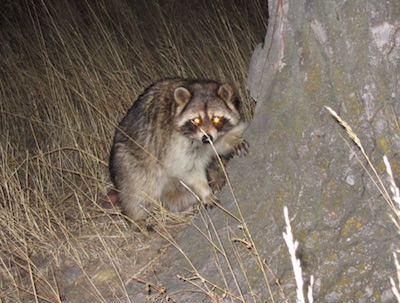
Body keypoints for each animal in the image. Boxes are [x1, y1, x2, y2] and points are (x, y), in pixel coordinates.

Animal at [108, 78, 248, 228]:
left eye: (216, 119)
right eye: (196, 120)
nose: (206, 138)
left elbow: (222, 142)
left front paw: (233, 140)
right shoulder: (173, 145)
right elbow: (188, 170)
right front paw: (205, 191)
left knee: (180, 196)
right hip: (130, 165)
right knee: (137, 194)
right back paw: (137, 218)